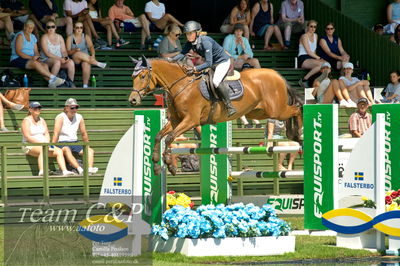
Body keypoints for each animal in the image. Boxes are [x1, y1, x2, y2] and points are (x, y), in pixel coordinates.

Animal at [130, 56, 302, 175]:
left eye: (142, 76)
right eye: (133, 77)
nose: (132, 100)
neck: (182, 86)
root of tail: (277, 75)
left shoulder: (190, 120)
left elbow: (169, 138)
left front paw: (170, 165)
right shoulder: (175, 121)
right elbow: (159, 136)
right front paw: (156, 165)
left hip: (276, 110)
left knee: (297, 108)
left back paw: (298, 133)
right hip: (260, 112)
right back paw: (293, 135)